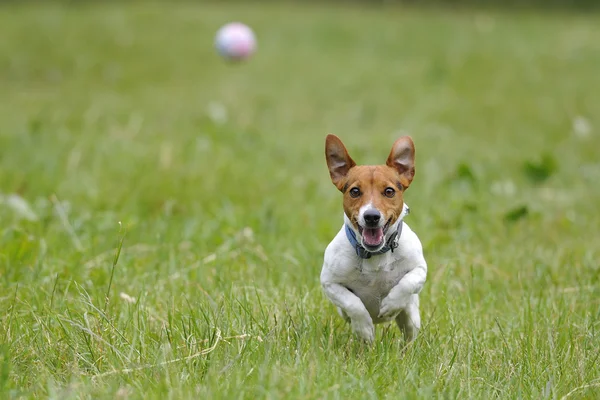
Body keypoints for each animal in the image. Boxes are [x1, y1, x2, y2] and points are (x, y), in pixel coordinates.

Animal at [318, 135, 426, 344]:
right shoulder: (329, 283)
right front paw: (365, 330)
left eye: (389, 191)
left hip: (411, 317)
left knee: (409, 334)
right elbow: (353, 304)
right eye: (355, 191)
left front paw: (390, 304)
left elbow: (407, 283)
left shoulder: (419, 269)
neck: (375, 254)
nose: (371, 216)